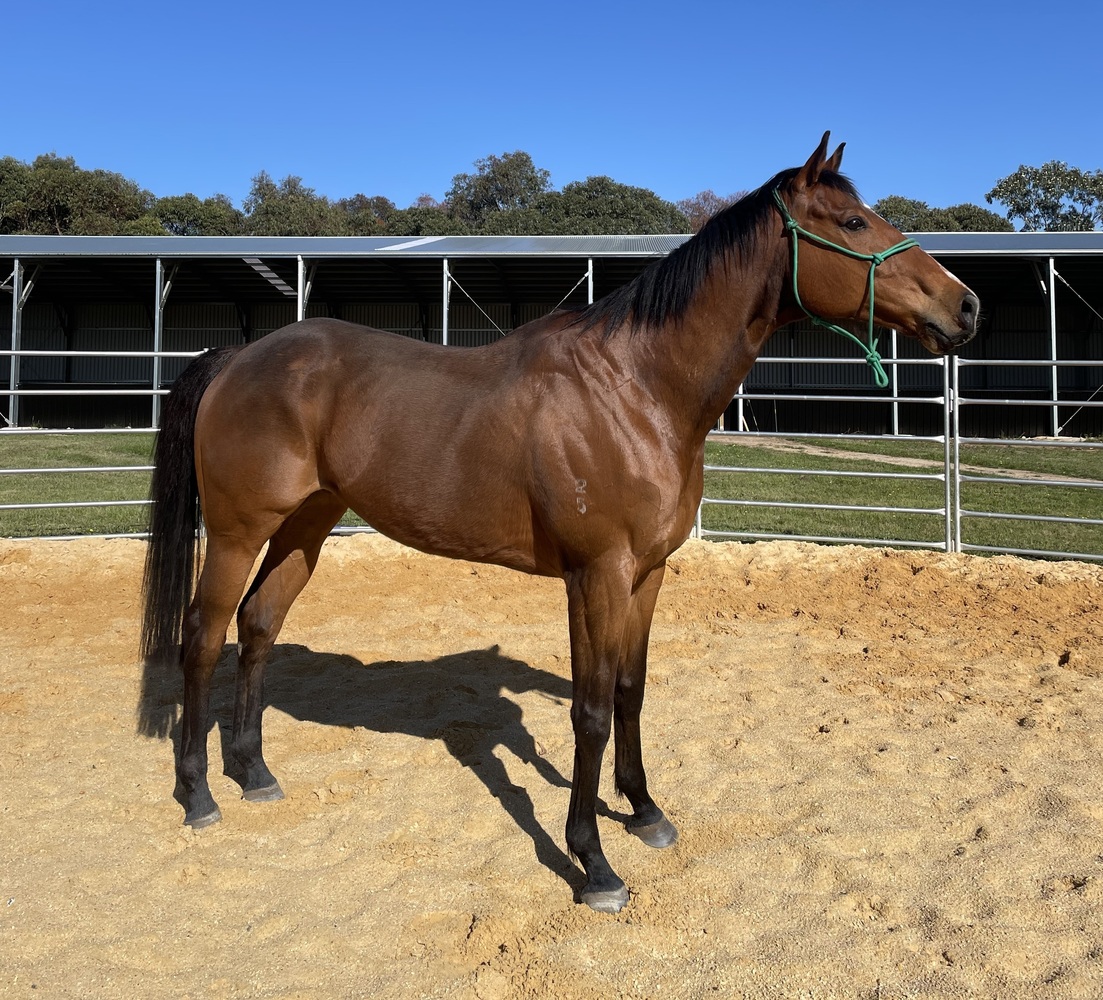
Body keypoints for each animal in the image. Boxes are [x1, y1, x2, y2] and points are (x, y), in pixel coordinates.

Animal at [140, 134, 979, 913]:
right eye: (853, 221)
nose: (965, 305)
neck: (636, 389)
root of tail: (239, 356)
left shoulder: (646, 573)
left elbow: (632, 690)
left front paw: (644, 811)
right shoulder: (595, 575)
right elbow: (591, 711)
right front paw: (594, 864)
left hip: (306, 527)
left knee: (258, 625)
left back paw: (254, 773)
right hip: (239, 532)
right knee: (202, 637)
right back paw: (199, 793)